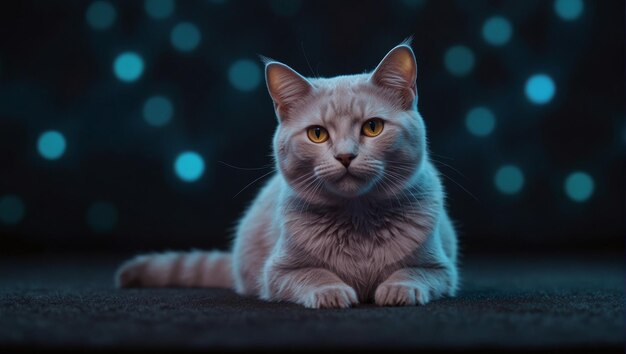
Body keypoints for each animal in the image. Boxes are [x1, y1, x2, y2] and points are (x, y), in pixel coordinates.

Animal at [116, 40, 458, 306]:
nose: (345, 156)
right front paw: (332, 292)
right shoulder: (278, 272)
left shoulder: (441, 268)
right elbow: (314, 275)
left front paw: (398, 289)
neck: (357, 219)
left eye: (373, 127)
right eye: (317, 134)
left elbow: (413, 272)